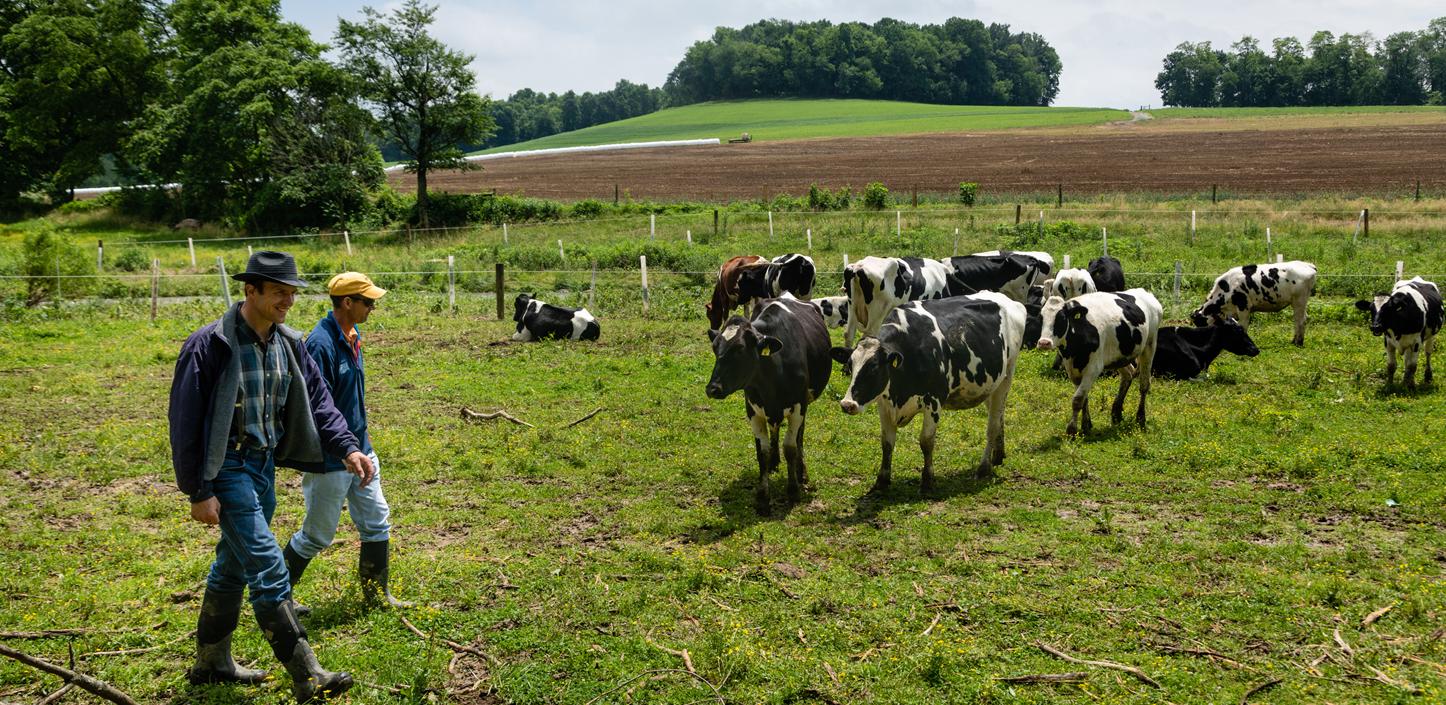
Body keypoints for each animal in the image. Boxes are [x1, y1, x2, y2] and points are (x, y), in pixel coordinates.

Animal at [705, 291, 832, 511]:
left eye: (739, 349)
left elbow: (790, 448)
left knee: (799, 435)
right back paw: (775, 460)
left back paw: (801, 470)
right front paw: (763, 496)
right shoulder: (753, 410)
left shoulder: (798, 406)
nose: (713, 389)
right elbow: (761, 453)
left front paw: (793, 490)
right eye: (715, 348)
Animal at [832, 288, 1023, 494]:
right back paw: (998, 455)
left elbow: (926, 441)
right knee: (999, 415)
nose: (847, 404)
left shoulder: (934, 400)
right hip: (990, 384)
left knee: (992, 424)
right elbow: (887, 443)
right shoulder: (884, 403)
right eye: (850, 365)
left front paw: (927, 482)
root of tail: (1007, 299)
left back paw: (984, 467)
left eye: (874, 368)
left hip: (1006, 377)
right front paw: (881, 482)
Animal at [1041, 287, 1162, 436]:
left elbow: (1077, 400)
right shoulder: (1072, 370)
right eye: (1041, 317)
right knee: (1128, 374)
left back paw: (1140, 418)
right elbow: (1083, 398)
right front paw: (1086, 425)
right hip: (1119, 356)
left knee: (1144, 384)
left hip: (1149, 346)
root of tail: (1145, 293)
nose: (1044, 343)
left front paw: (1072, 430)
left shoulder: (1093, 369)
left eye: (1061, 318)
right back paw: (1116, 413)